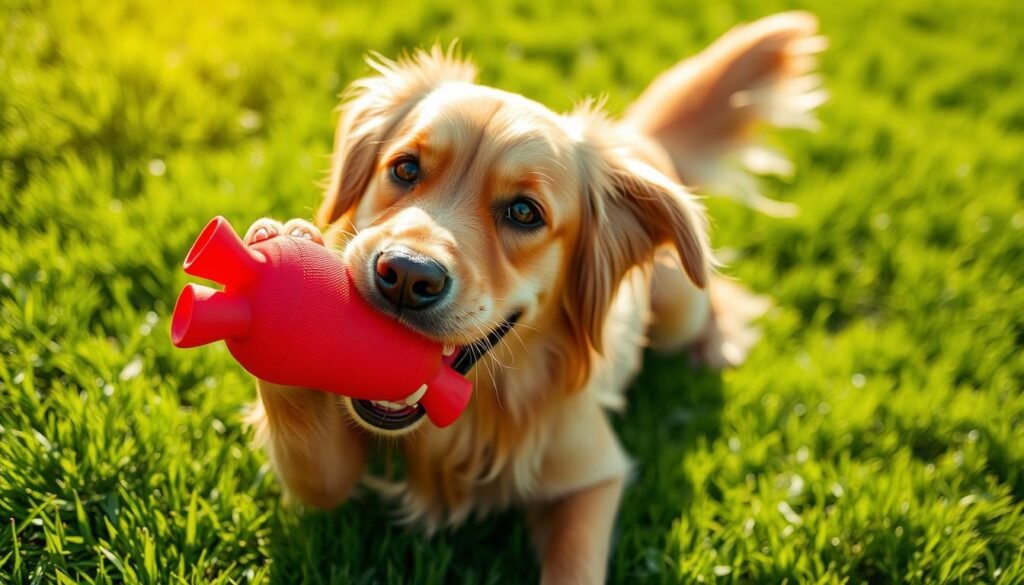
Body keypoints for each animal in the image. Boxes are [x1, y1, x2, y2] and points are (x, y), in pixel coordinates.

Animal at [243, 12, 827, 581]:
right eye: (405, 168)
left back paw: (718, 342)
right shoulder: (331, 460)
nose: (407, 275)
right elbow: (322, 478)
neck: (466, 421)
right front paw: (286, 258)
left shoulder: (592, 471)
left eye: (524, 212)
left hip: (678, 307)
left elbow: (574, 563)